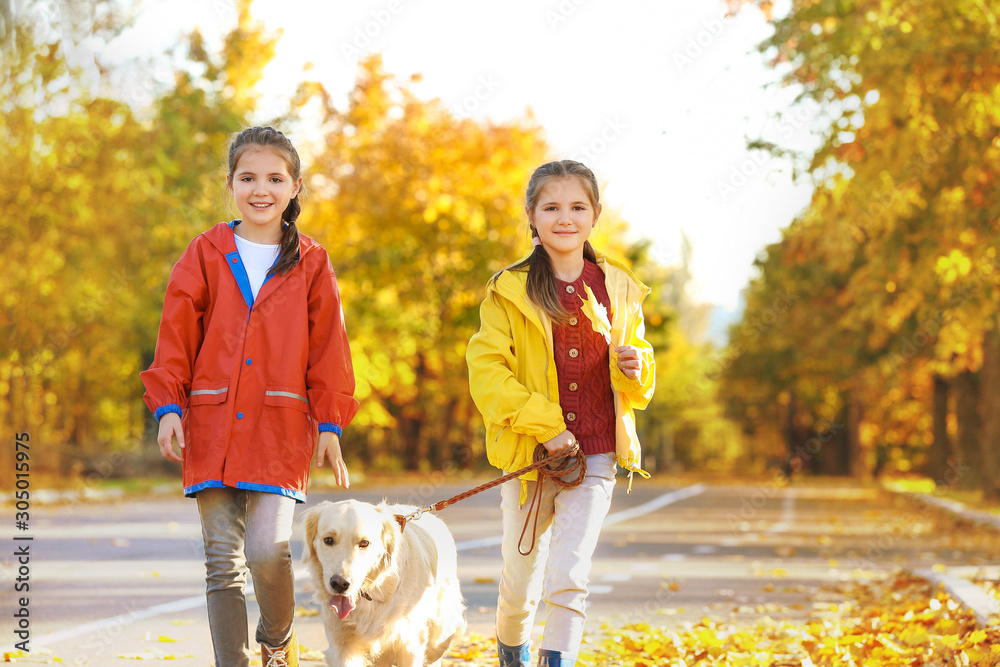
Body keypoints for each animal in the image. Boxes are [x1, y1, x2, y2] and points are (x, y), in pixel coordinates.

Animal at [300, 500, 464, 667]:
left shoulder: (409, 645)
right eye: (328, 540)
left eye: (364, 543)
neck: (373, 593)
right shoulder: (342, 646)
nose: (340, 584)